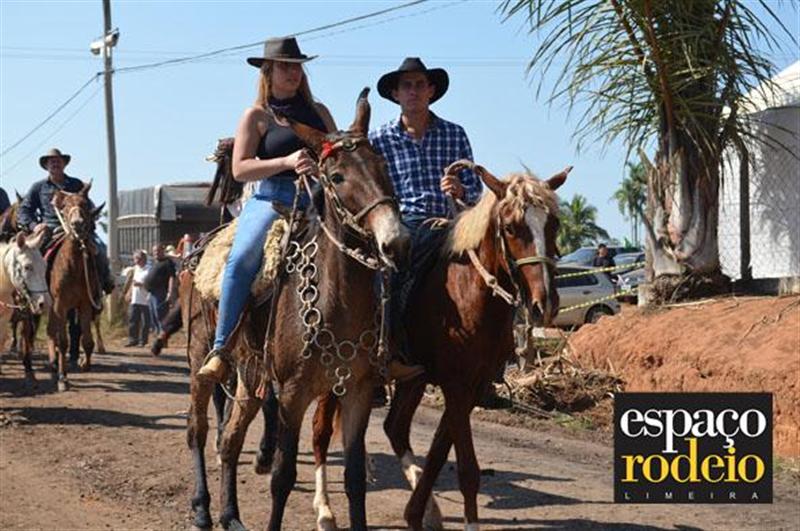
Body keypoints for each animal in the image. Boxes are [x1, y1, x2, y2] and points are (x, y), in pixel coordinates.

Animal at [46, 183, 105, 391]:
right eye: (64, 207)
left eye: (85, 204)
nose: (77, 223)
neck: (74, 267)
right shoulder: (60, 305)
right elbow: (63, 342)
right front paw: (63, 378)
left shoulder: (85, 303)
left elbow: (87, 340)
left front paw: (84, 363)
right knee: (52, 332)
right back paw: (54, 364)